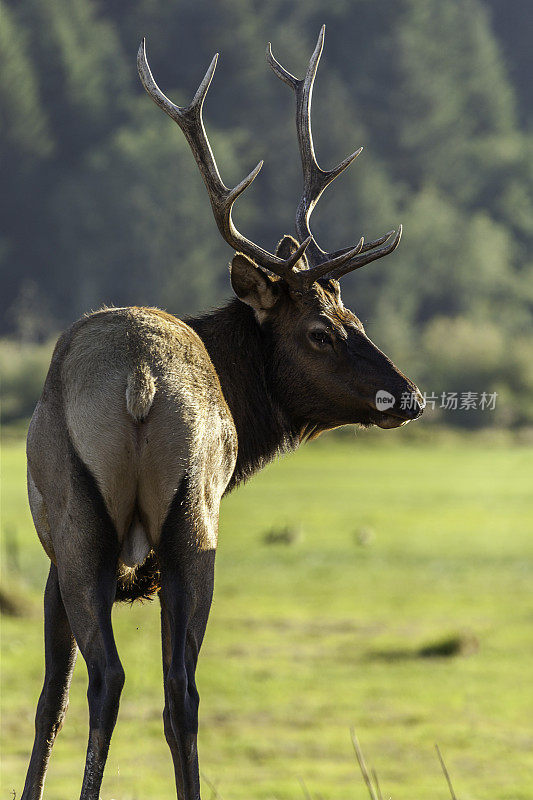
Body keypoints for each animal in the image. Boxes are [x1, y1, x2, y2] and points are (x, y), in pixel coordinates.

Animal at [21, 25, 424, 800]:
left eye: (351, 318)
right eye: (324, 328)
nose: (411, 395)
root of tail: (141, 382)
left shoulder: (52, 556)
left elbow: (49, 701)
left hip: (82, 523)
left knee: (108, 677)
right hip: (193, 520)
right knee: (182, 689)